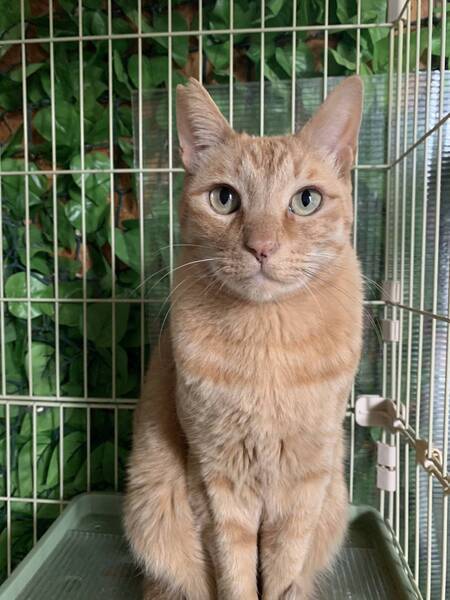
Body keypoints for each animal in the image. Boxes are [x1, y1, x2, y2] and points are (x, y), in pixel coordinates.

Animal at [124, 75, 364, 600]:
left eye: (306, 200)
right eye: (224, 198)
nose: (262, 247)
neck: (267, 341)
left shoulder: (305, 483)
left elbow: (283, 570)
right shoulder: (217, 481)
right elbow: (234, 574)